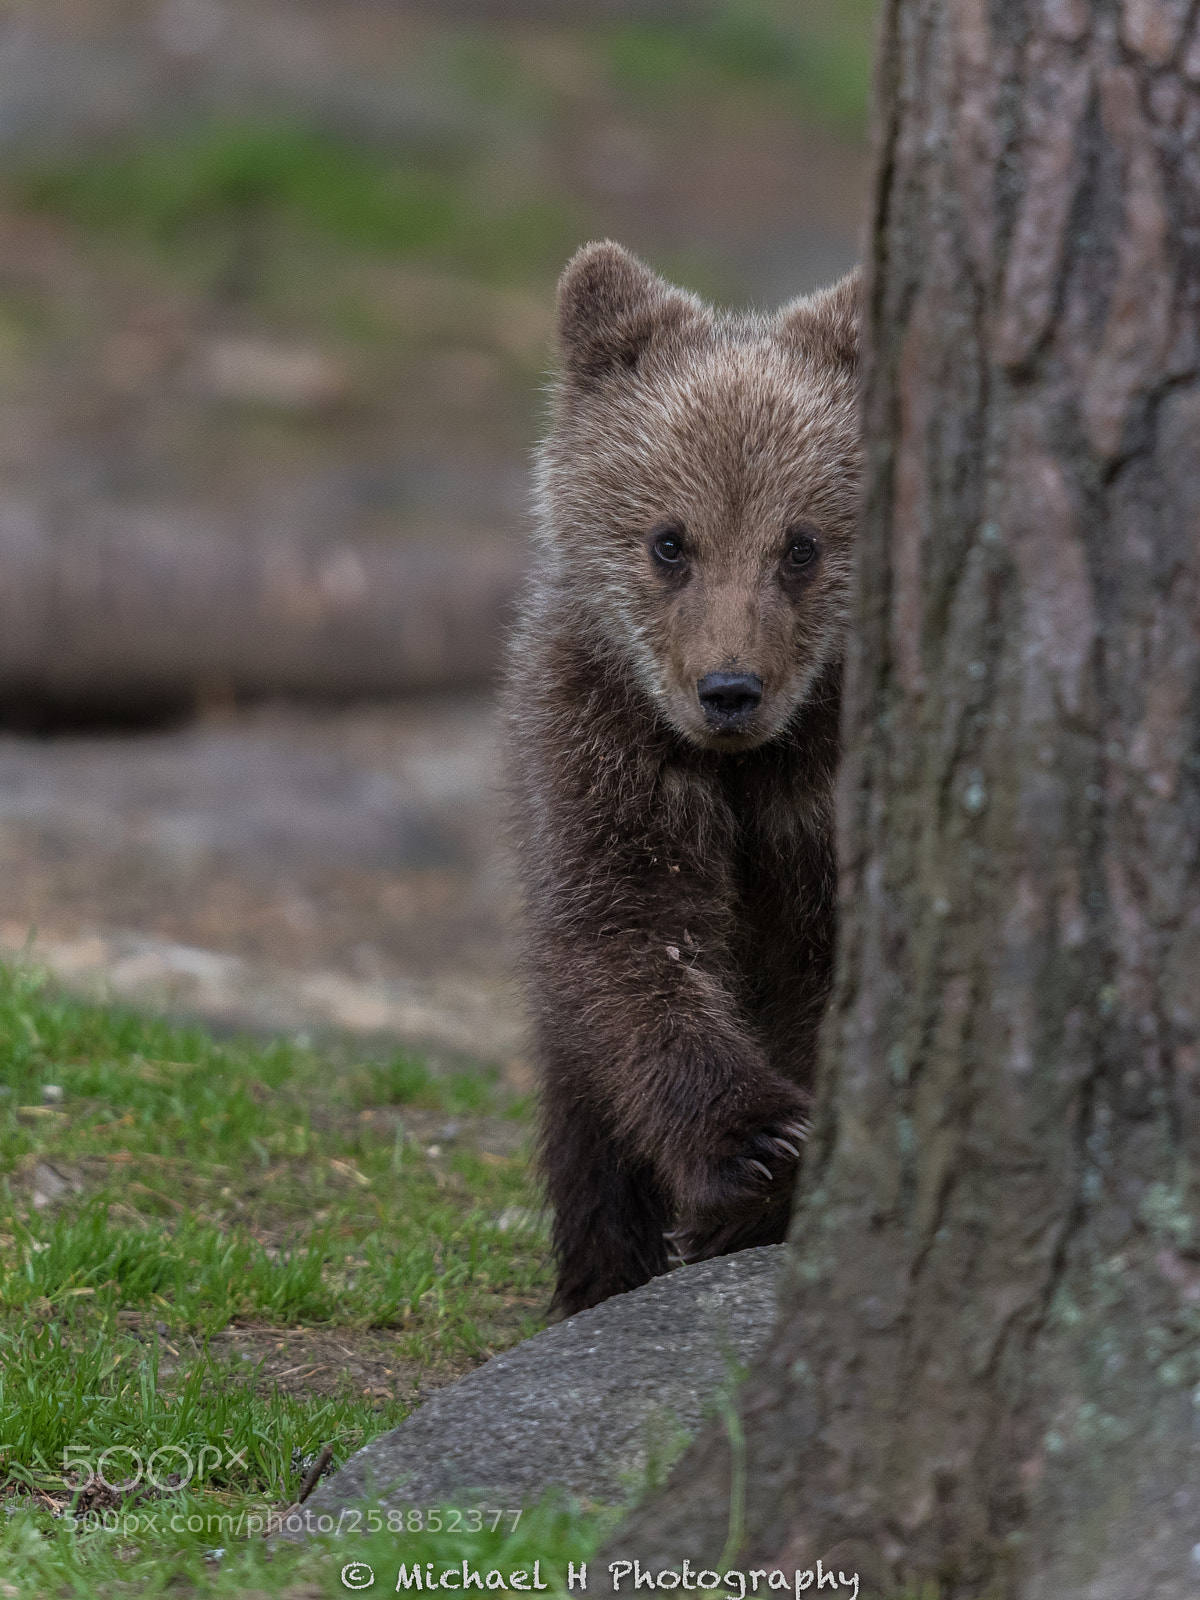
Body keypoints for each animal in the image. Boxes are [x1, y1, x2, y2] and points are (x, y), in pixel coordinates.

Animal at [505, 241, 861, 1316]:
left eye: (800, 544)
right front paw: (758, 1139)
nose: (729, 688)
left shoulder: (816, 794)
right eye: (671, 540)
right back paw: (601, 1268)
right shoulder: (602, 752)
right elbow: (631, 944)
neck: (741, 772)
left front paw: (759, 1198)